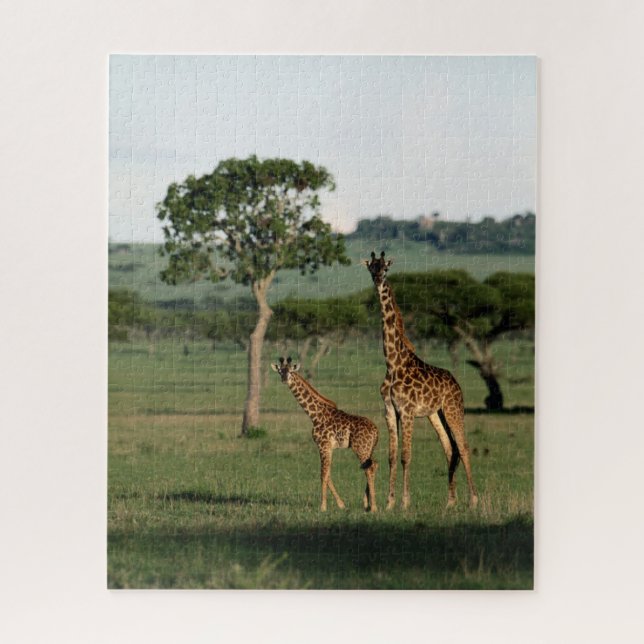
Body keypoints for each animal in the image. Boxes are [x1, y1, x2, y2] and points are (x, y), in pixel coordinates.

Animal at [271, 357, 379, 512]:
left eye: (291, 371)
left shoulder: (323, 445)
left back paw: (374, 507)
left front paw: (322, 507)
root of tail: (376, 431)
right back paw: (366, 504)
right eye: (280, 371)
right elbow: (328, 474)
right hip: (369, 448)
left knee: (369, 469)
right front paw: (341, 504)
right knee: (373, 465)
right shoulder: (328, 447)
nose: (284, 379)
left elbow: (323, 474)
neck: (315, 415)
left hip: (360, 448)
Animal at [364, 251, 478, 510]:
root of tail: (456, 383)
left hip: (453, 409)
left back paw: (473, 500)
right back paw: (450, 502)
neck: (393, 363)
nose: (377, 279)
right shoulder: (390, 411)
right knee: (450, 448)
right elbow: (392, 456)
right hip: (436, 414)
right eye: (371, 267)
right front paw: (389, 503)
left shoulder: (407, 411)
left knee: (463, 446)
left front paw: (405, 502)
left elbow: (406, 456)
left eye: (385, 268)